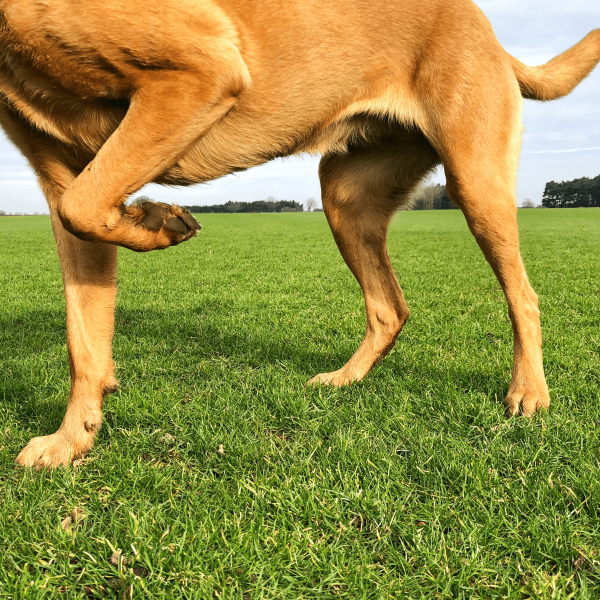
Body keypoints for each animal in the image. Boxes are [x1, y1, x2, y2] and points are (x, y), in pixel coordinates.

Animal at [0, 0, 596, 468]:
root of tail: (491, 32)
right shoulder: (61, 175)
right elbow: (83, 335)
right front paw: (72, 438)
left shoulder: (201, 71)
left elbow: (83, 209)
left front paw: (158, 220)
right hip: (346, 199)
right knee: (390, 307)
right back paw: (346, 378)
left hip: (476, 179)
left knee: (524, 295)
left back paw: (528, 391)